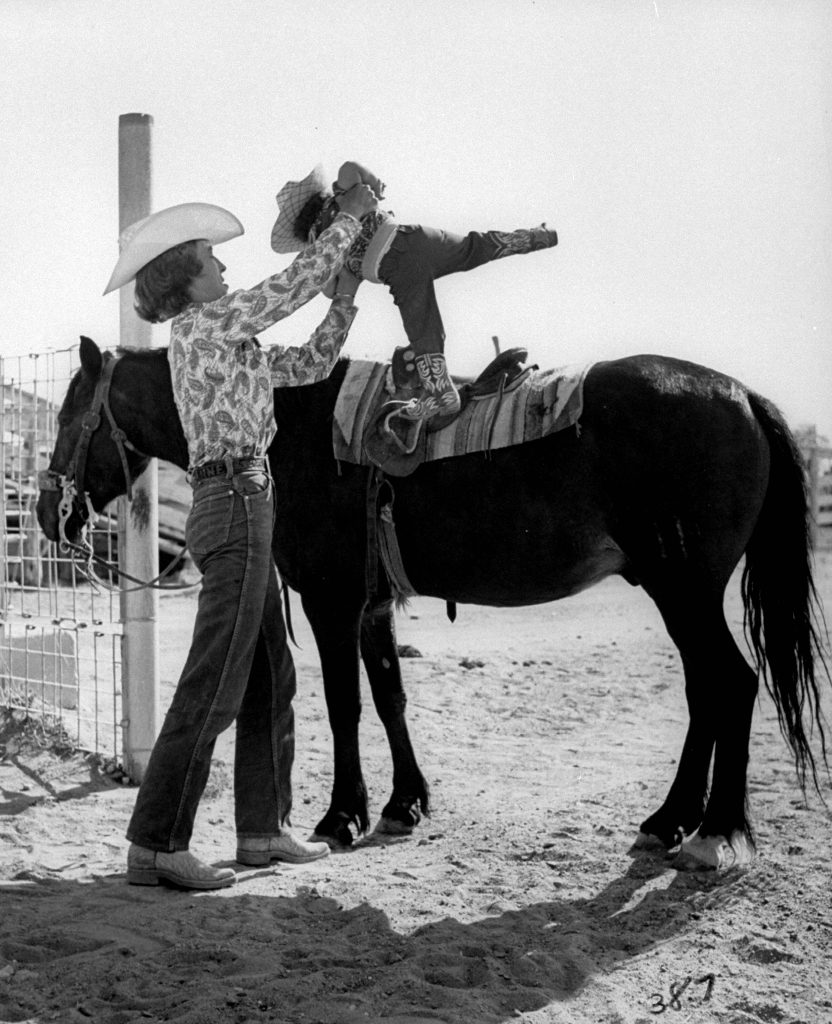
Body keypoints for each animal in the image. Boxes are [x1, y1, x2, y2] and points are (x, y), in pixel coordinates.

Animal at [35, 339, 827, 868]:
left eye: (72, 414)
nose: (47, 514)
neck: (294, 425)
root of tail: (743, 397)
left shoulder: (331, 599)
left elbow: (346, 705)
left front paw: (342, 815)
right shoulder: (371, 604)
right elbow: (390, 697)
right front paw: (402, 803)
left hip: (685, 591)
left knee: (731, 685)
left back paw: (716, 832)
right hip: (684, 596)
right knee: (707, 692)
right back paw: (671, 821)